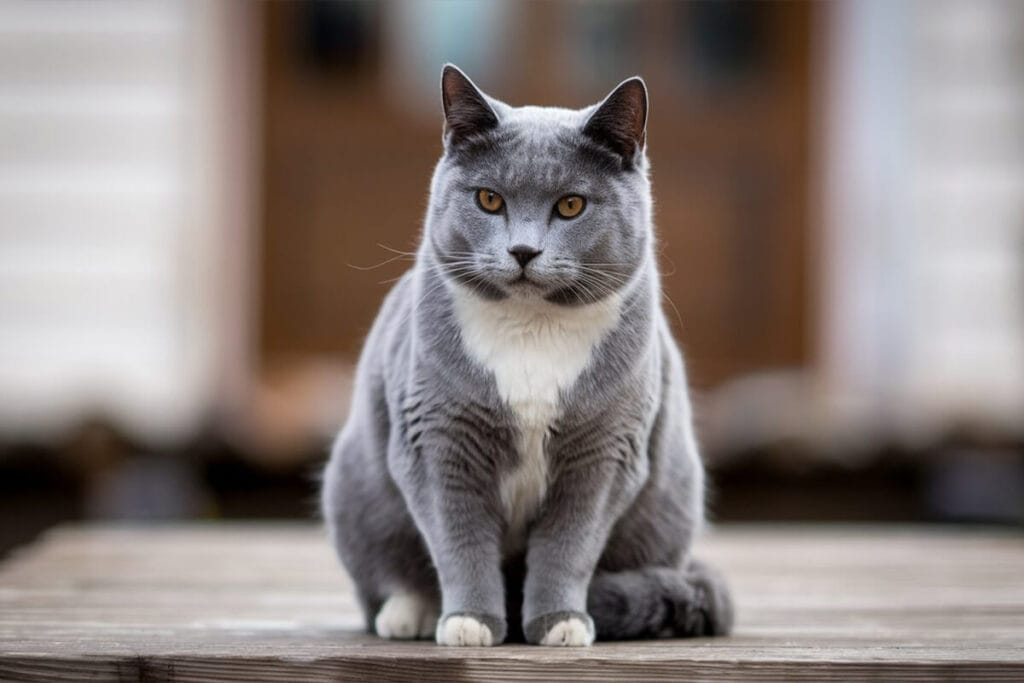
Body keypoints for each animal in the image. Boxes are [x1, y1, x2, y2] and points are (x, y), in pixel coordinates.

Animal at [323, 63, 733, 647]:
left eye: (571, 205)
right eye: (489, 200)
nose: (522, 250)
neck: (532, 329)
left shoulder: (605, 454)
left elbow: (568, 546)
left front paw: (560, 623)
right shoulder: (440, 440)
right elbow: (460, 541)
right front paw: (469, 621)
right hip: (355, 485)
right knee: (384, 576)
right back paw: (411, 612)